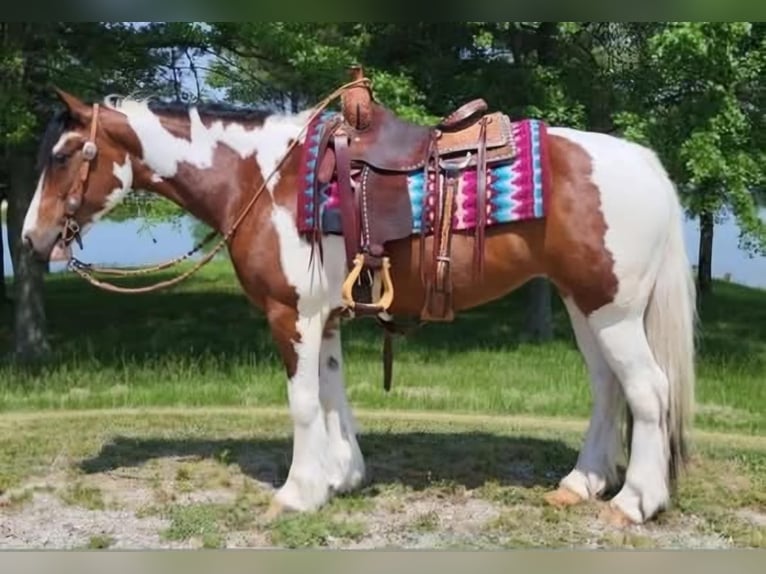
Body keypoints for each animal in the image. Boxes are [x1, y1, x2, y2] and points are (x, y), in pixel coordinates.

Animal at [20, 72, 697, 527]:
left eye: (63, 156)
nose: (30, 238)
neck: (263, 178)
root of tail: (647, 165)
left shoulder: (291, 315)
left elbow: (301, 404)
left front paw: (296, 493)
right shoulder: (325, 317)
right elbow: (331, 396)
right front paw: (339, 477)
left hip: (611, 310)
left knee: (648, 391)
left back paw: (635, 502)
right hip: (585, 305)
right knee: (609, 389)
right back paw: (582, 484)